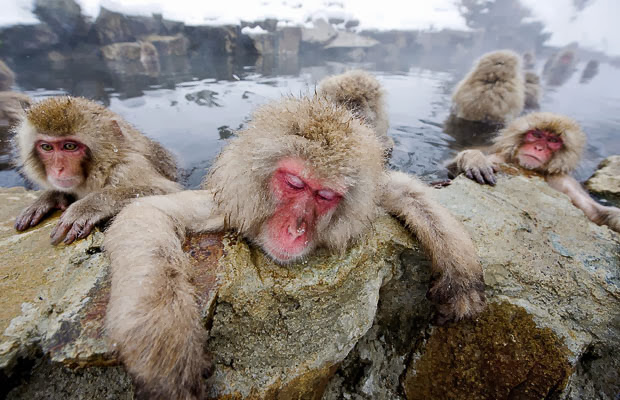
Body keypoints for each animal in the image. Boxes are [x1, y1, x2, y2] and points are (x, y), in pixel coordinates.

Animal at [13, 96, 180, 244]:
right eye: (47, 147)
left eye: (69, 146)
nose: (58, 169)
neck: (106, 165)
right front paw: (50, 197)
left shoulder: (130, 166)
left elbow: (166, 192)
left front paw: (87, 207)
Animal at [446, 111, 620, 231]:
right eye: (536, 134)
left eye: (553, 140)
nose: (539, 147)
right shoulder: (499, 159)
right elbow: (450, 169)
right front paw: (475, 159)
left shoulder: (565, 182)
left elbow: (594, 212)